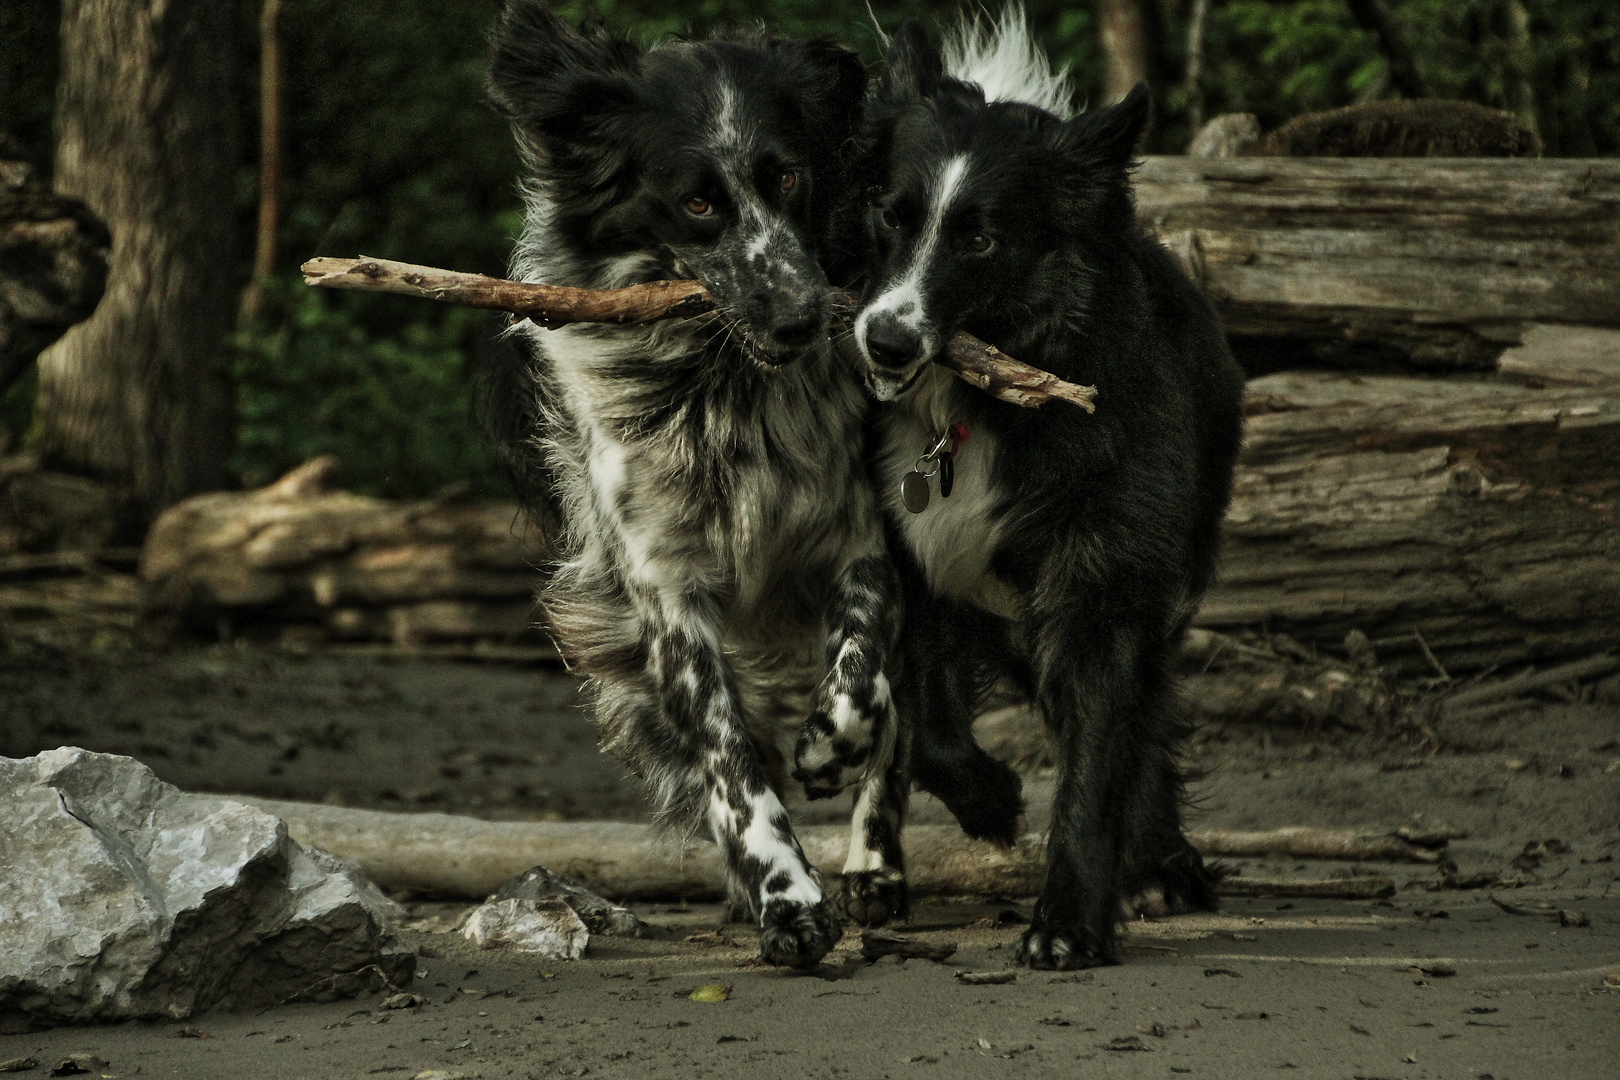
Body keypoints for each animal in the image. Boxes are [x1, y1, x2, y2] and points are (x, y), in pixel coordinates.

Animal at [479, 0, 913, 965]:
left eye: (788, 175)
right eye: (698, 201)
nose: (801, 318)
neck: (723, 389)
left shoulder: (858, 540)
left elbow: (865, 683)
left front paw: (828, 754)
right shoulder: (663, 589)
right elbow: (730, 761)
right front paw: (785, 897)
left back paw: (875, 860)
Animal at [855, 10, 1244, 971]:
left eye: (981, 238)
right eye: (888, 214)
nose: (883, 342)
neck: (976, 410)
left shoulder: (1104, 583)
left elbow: (1099, 751)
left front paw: (1069, 919)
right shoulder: (914, 567)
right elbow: (933, 730)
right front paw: (993, 802)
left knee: (1135, 726)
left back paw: (1158, 866)